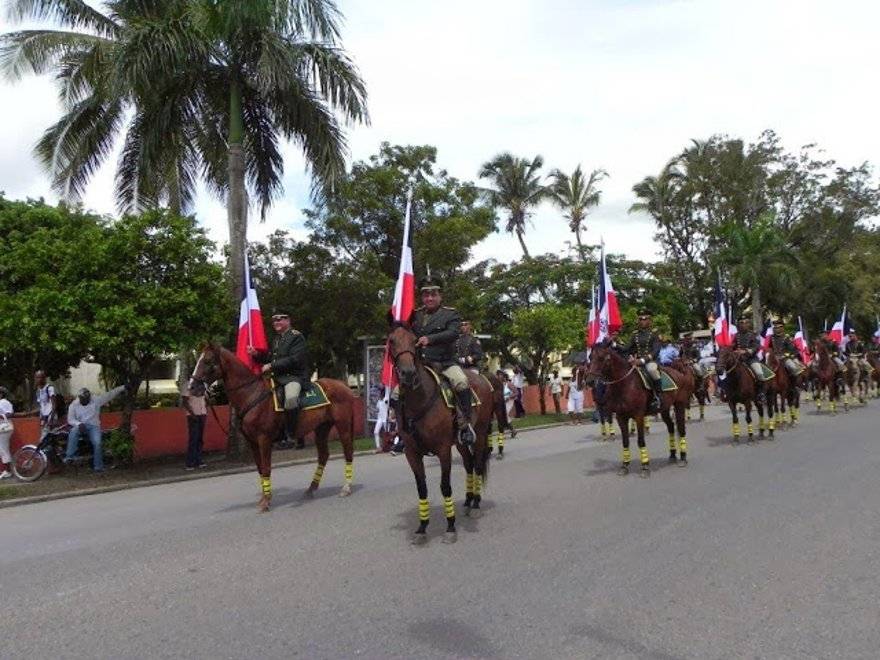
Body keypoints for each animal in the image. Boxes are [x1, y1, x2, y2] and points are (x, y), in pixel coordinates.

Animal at [191, 342, 360, 512]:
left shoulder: (264, 439)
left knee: (348, 452)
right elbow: (260, 468)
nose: (192, 387)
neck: (251, 394)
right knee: (323, 456)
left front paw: (266, 501)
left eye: (207, 360)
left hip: (343, 426)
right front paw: (264, 498)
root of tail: (344, 386)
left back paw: (346, 488)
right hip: (321, 429)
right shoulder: (253, 442)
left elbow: (266, 468)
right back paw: (311, 489)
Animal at [384, 322, 496, 544]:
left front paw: (450, 526)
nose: (408, 373)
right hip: (460, 442)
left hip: (480, 434)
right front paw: (422, 527)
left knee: (478, 465)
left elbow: (445, 486)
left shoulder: (443, 450)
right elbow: (421, 488)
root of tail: (481, 378)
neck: (419, 401)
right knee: (469, 464)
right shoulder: (412, 453)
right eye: (392, 341)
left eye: (414, 340)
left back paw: (476, 504)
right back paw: (468, 500)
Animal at [584, 342, 696, 476]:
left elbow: (640, 440)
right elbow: (625, 441)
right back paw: (673, 455)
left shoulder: (638, 416)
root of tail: (680, 373)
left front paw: (645, 466)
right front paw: (624, 465)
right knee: (671, 427)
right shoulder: (621, 417)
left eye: (602, 358)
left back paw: (683, 458)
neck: (624, 385)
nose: (590, 381)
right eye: (590, 357)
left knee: (681, 429)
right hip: (664, 409)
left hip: (679, 405)